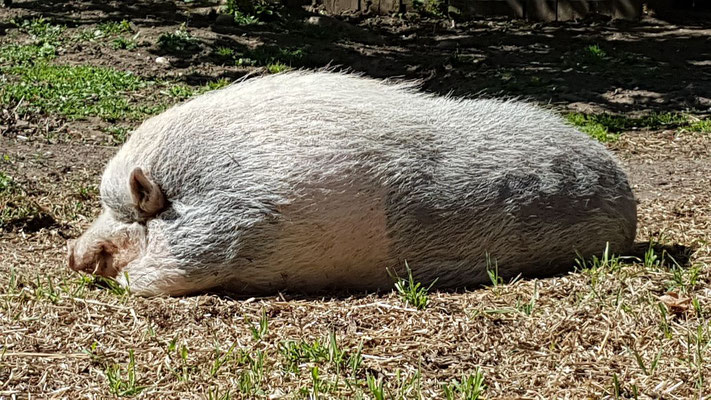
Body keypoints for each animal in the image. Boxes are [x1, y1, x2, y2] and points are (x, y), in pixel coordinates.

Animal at [68, 70, 640, 296]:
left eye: (127, 213)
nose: (72, 255)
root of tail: (629, 197)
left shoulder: (220, 231)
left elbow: (151, 277)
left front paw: (120, 279)